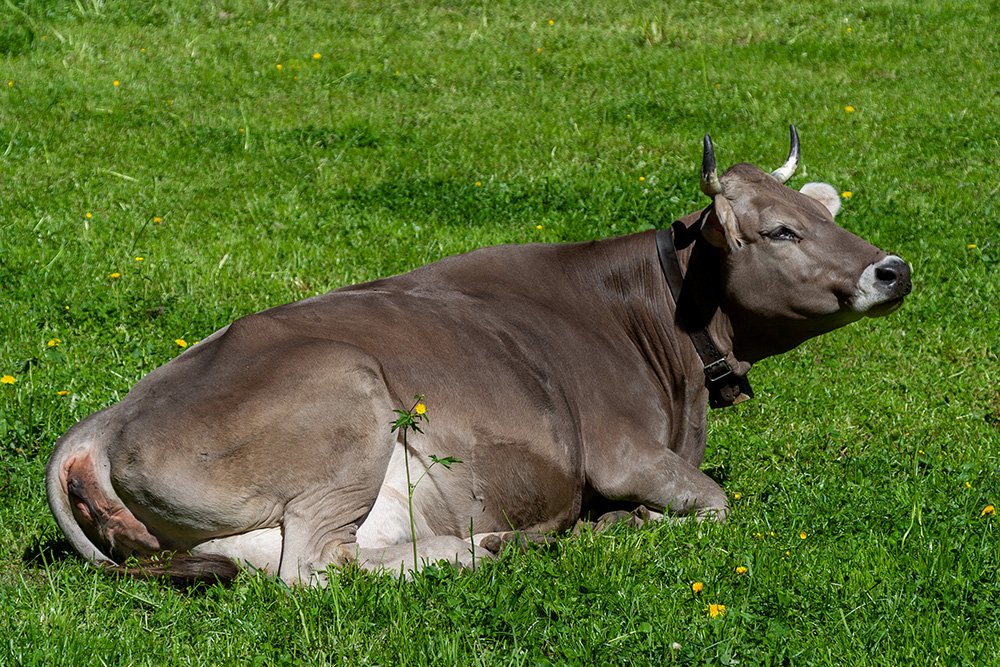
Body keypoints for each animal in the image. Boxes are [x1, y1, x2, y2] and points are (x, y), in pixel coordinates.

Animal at [47, 128, 912, 588]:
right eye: (781, 231)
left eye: (824, 216)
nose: (894, 268)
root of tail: (103, 419)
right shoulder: (622, 450)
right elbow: (714, 503)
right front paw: (620, 522)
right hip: (347, 394)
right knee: (315, 567)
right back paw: (494, 547)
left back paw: (495, 543)